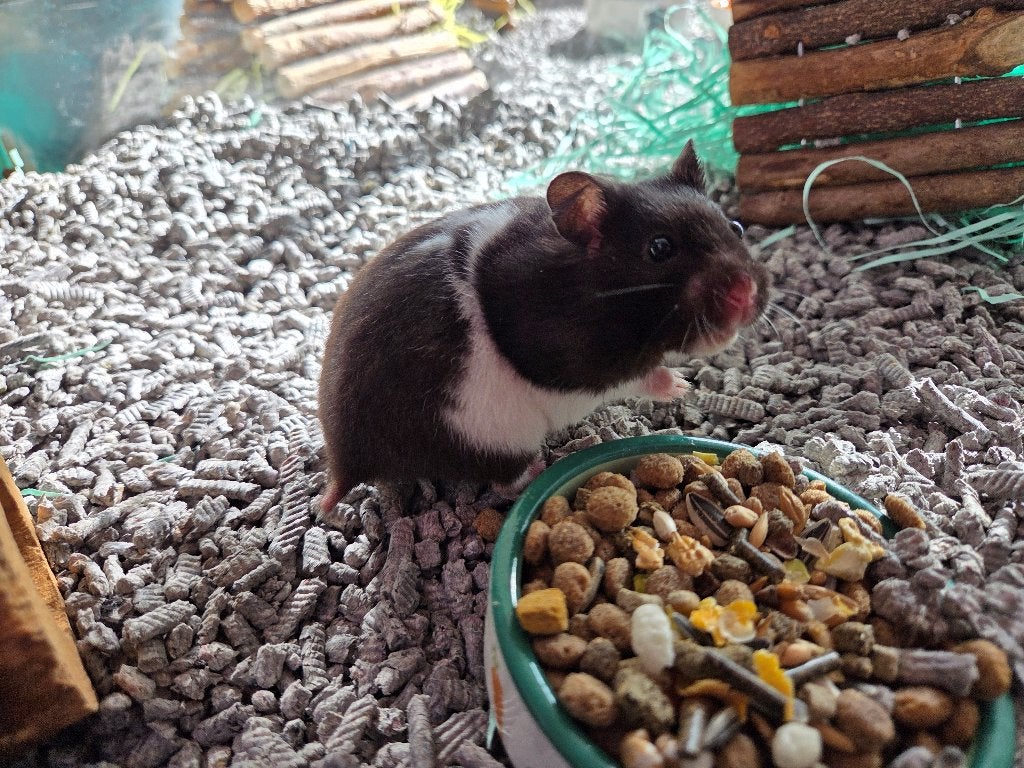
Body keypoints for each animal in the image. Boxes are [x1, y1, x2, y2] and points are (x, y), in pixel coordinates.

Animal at [318, 141, 770, 510]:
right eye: (660, 248)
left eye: (736, 228)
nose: (746, 296)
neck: (590, 286)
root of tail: (347, 463)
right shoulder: (578, 366)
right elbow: (636, 376)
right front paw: (681, 386)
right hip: (491, 433)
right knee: (503, 482)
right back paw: (544, 465)